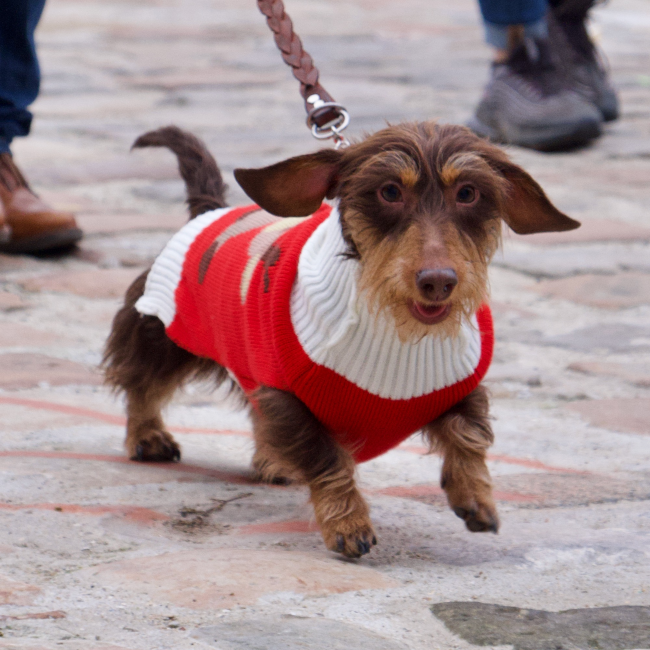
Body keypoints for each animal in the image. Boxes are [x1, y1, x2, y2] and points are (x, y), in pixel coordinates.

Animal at [102, 123, 576, 556]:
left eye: (468, 193)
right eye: (389, 191)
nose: (439, 282)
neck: (395, 332)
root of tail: (209, 208)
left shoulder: (457, 384)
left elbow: (467, 434)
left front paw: (475, 497)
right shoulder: (289, 395)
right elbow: (326, 458)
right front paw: (349, 524)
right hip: (160, 333)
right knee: (141, 383)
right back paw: (148, 435)